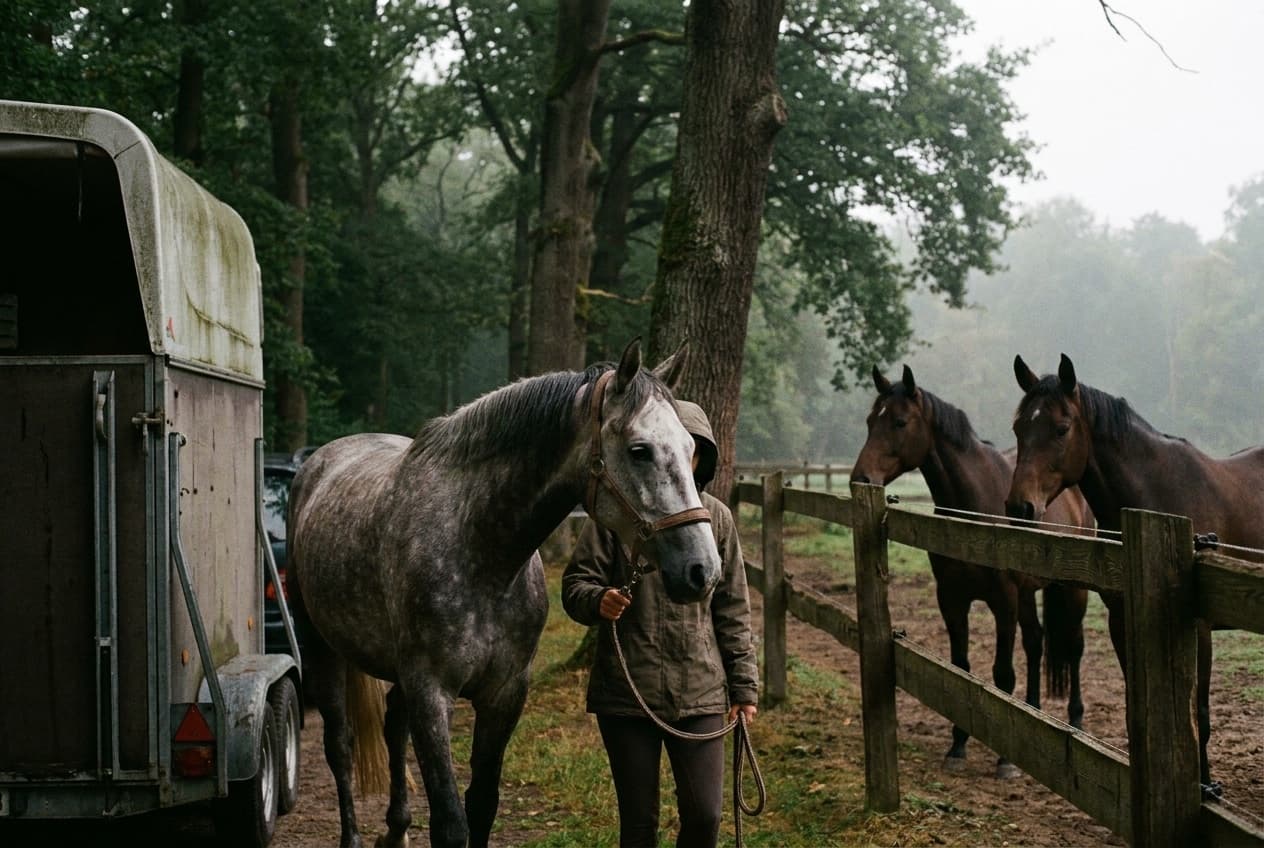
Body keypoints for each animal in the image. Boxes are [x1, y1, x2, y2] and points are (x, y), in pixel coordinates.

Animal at [289, 339, 722, 848]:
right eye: (640, 451)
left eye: (691, 449)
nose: (702, 570)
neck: (479, 551)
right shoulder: (432, 692)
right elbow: (451, 822)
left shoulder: (505, 693)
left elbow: (482, 805)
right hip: (323, 648)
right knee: (340, 745)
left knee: (393, 726)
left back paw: (395, 831)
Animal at [851, 365, 1094, 778]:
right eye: (870, 421)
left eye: (899, 422)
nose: (860, 479)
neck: (973, 508)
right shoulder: (952, 598)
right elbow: (961, 666)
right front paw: (958, 744)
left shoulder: (1004, 602)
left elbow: (1002, 673)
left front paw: (1006, 760)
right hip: (1029, 593)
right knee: (1035, 643)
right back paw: (1033, 712)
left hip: (1071, 590)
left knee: (1074, 648)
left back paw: (1075, 721)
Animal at [1006, 353, 1264, 795]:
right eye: (1019, 427)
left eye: (1061, 428)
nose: (1020, 507)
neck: (1156, 498)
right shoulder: (1121, 621)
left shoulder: (1199, 626)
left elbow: (1199, 712)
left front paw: (1206, 787)